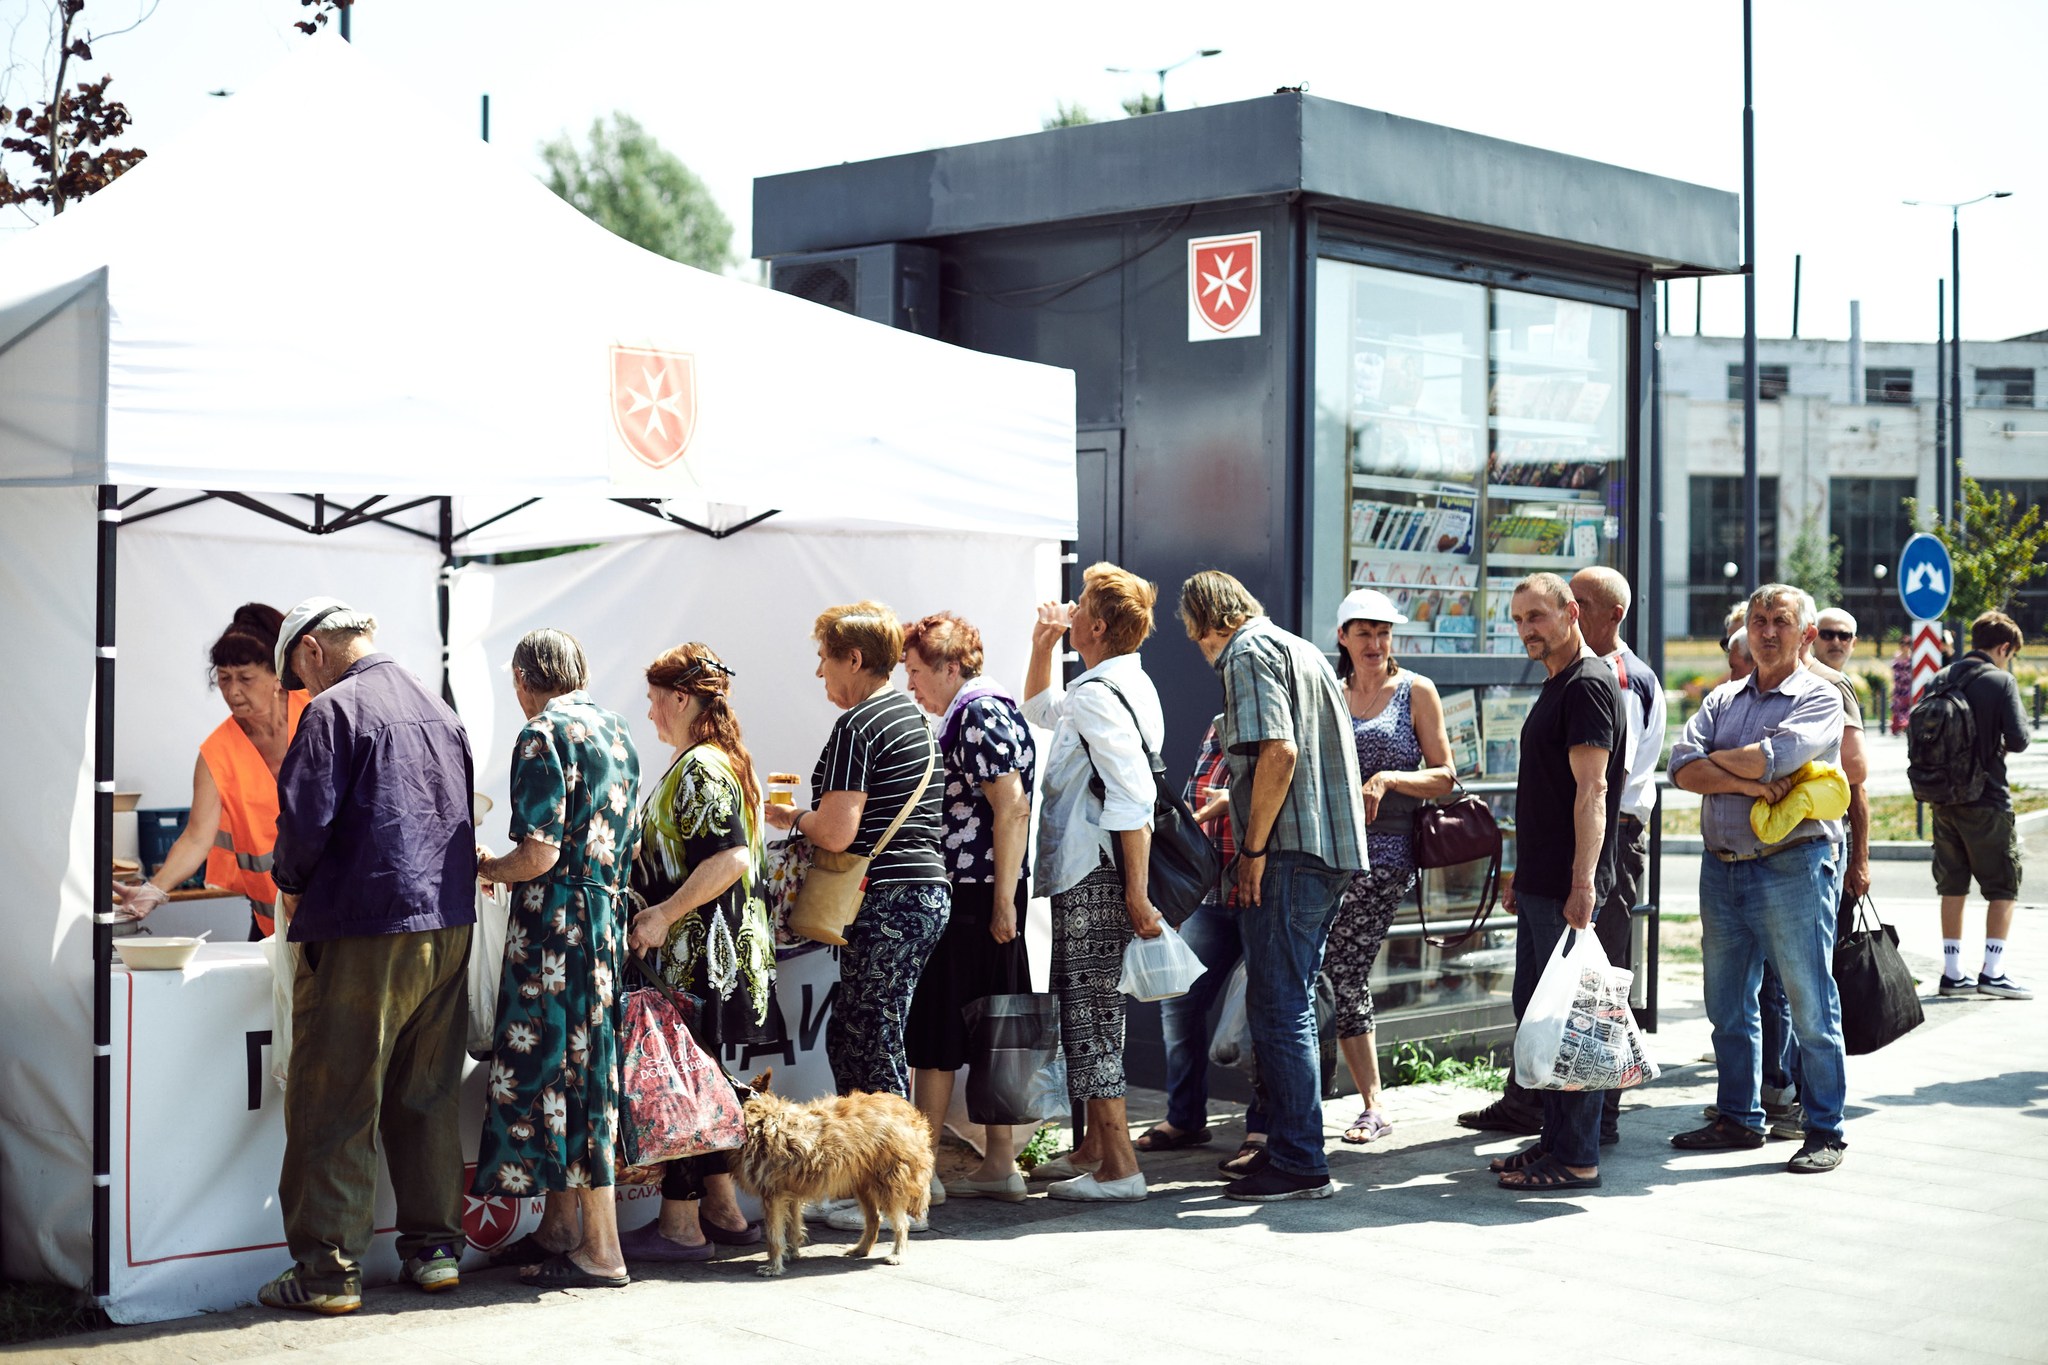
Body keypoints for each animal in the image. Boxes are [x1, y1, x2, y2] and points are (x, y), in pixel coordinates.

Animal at [733, 1072, 933, 1277]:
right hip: (863, 1186)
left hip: (888, 1186)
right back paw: (861, 1248)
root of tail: (909, 1113)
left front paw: (774, 1266)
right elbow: (793, 1226)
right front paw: (791, 1252)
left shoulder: (773, 1195)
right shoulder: (790, 1194)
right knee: (874, 1219)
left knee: (901, 1224)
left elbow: (774, 1235)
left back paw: (897, 1254)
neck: (761, 1119)